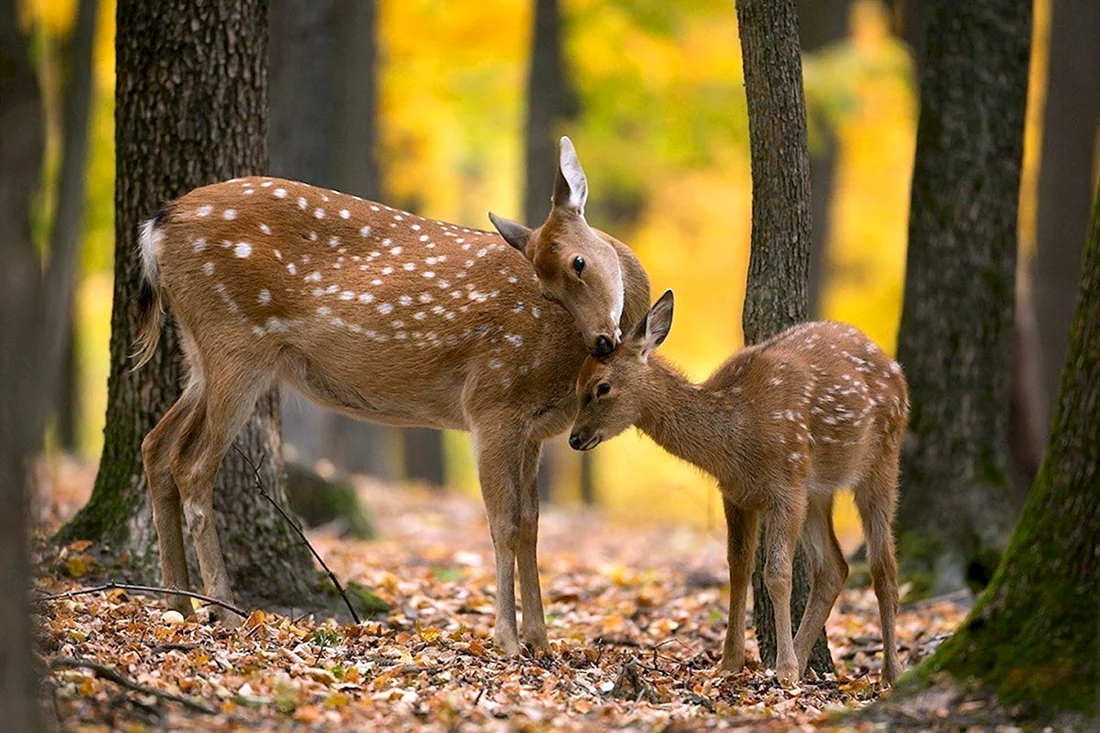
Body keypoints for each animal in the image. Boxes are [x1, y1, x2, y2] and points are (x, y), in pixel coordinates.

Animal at [134, 137, 651, 656]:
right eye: (545, 290)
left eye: (578, 263)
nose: (602, 341)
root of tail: (157, 224)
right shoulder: (493, 400)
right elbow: (503, 523)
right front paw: (507, 640)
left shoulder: (534, 430)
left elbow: (531, 526)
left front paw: (541, 641)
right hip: (235, 340)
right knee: (192, 463)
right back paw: (222, 610)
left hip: (200, 355)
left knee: (156, 445)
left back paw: (177, 604)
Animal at [568, 291, 907, 685]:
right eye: (577, 385)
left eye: (602, 387)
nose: (575, 437)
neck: (736, 436)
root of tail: (897, 372)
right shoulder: (735, 494)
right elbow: (738, 567)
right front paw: (730, 662)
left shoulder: (786, 484)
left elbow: (776, 574)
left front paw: (784, 669)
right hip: (817, 489)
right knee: (833, 567)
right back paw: (806, 659)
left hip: (881, 460)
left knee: (883, 567)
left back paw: (890, 673)